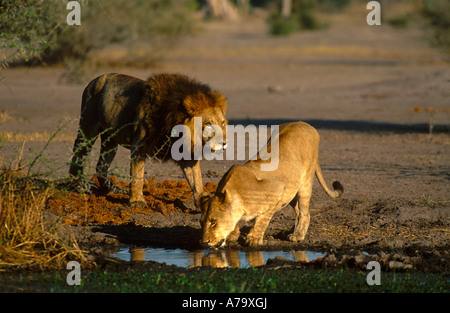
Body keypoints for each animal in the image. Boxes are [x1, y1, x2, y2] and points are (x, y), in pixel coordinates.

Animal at [68, 73, 227, 207]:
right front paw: (137, 201)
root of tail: (94, 80)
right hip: (88, 129)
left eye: (223, 123)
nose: (224, 143)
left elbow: (196, 178)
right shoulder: (139, 146)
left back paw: (113, 189)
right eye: (208, 124)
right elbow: (137, 175)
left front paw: (202, 199)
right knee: (78, 154)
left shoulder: (185, 151)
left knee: (101, 166)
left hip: (111, 140)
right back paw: (79, 185)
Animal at [199, 121, 342, 246]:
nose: (204, 242)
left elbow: (263, 218)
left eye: (213, 222)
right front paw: (233, 234)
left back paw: (298, 235)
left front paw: (254, 238)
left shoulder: (277, 189)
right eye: (201, 223)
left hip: (305, 182)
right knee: (297, 210)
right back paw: (291, 231)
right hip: (291, 189)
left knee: (305, 213)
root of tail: (306, 124)